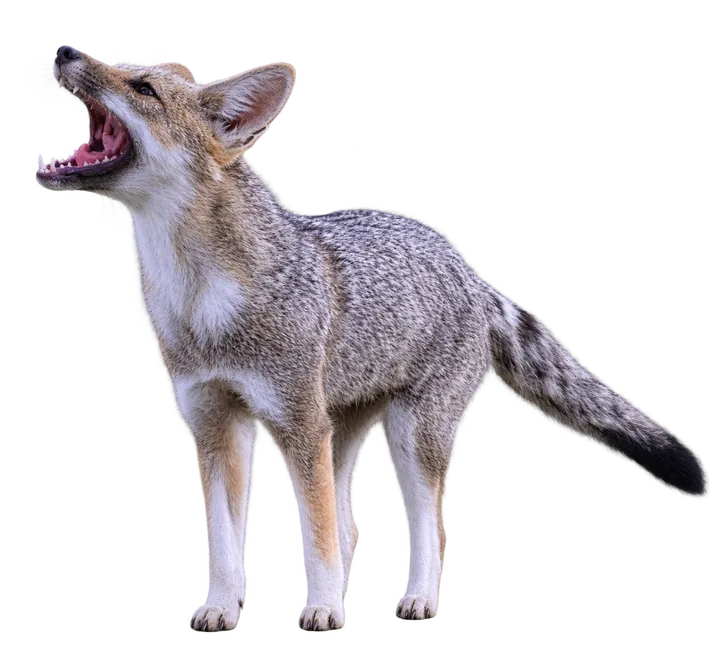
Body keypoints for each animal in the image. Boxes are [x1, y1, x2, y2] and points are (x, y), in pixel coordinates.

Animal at [34, 45, 710, 633]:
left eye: (142, 88)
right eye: (115, 64)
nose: (66, 50)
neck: (200, 302)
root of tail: (468, 265)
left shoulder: (296, 425)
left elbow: (318, 539)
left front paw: (323, 614)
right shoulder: (214, 430)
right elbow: (227, 545)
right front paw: (223, 610)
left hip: (409, 442)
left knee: (428, 525)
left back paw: (417, 599)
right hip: (341, 441)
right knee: (352, 527)